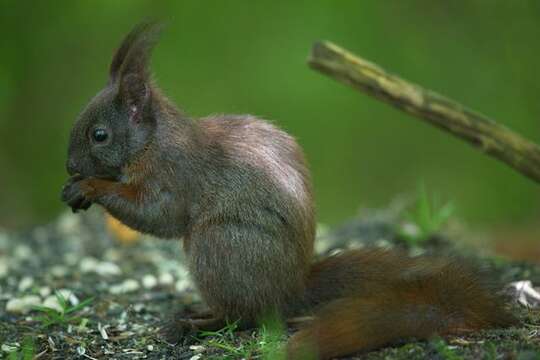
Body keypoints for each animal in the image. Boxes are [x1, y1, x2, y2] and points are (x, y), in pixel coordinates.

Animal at [62, 23, 520, 358]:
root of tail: (291, 290)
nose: (69, 167)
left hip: (220, 245)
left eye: (99, 135)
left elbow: (158, 215)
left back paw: (201, 322)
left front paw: (89, 186)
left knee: (247, 315)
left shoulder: (176, 176)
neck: (153, 142)